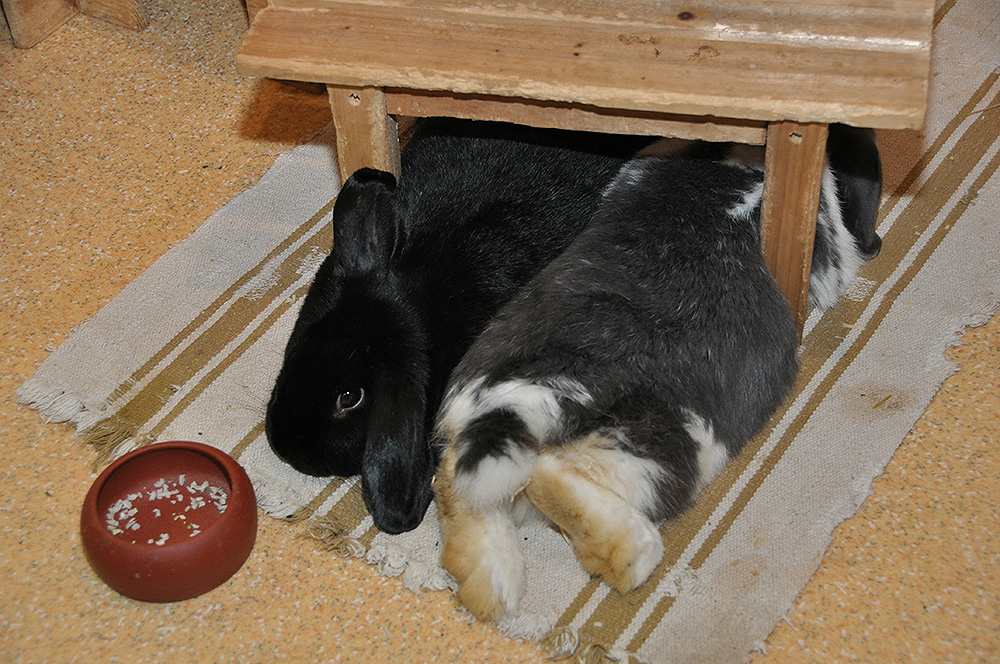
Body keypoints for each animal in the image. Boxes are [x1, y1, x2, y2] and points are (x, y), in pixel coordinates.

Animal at [434, 123, 880, 616]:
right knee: (561, 480)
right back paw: (625, 558)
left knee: (458, 486)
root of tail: (526, 394)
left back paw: (489, 584)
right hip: (657, 451)